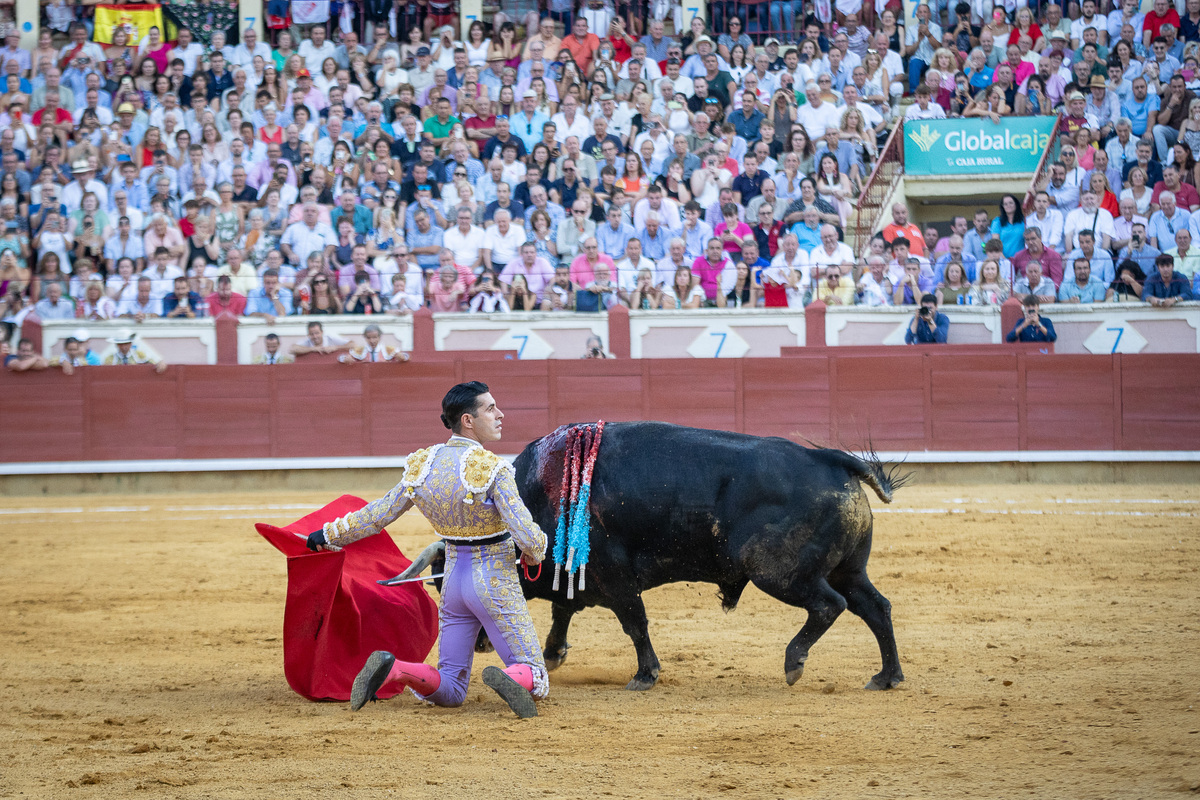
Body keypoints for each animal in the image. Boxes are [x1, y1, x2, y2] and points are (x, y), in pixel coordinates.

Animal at [470, 422, 907, 690]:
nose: (477, 644)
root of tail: (830, 459)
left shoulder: (615, 577)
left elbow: (634, 623)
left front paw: (645, 675)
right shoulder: (580, 575)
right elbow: (564, 610)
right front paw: (553, 654)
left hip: (779, 572)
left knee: (829, 605)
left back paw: (793, 663)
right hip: (848, 570)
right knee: (875, 607)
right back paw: (886, 677)